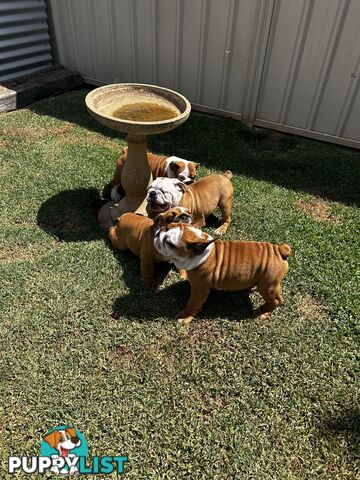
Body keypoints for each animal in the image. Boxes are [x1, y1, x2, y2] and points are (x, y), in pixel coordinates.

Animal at [153, 223, 292, 324]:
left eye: (169, 243)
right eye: (167, 225)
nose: (158, 232)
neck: (201, 253)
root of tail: (279, 250)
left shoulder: (199, 290)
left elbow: (192, 303)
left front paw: (185, 316)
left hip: (267, 286)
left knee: (275, 301)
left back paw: (263, 313)